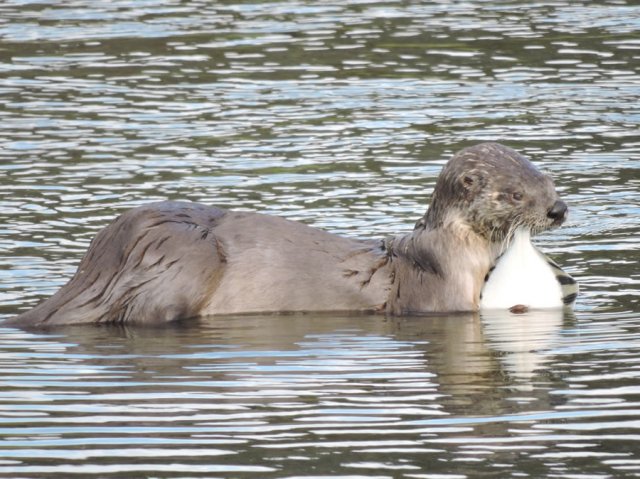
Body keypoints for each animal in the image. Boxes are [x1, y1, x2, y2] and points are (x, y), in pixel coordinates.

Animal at [8, 142, 568, 328]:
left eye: (548, 180)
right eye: (514, 194)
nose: (558, 210)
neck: (447, 256)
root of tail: (102, 259)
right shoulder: (440, 300)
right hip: (182, 260)